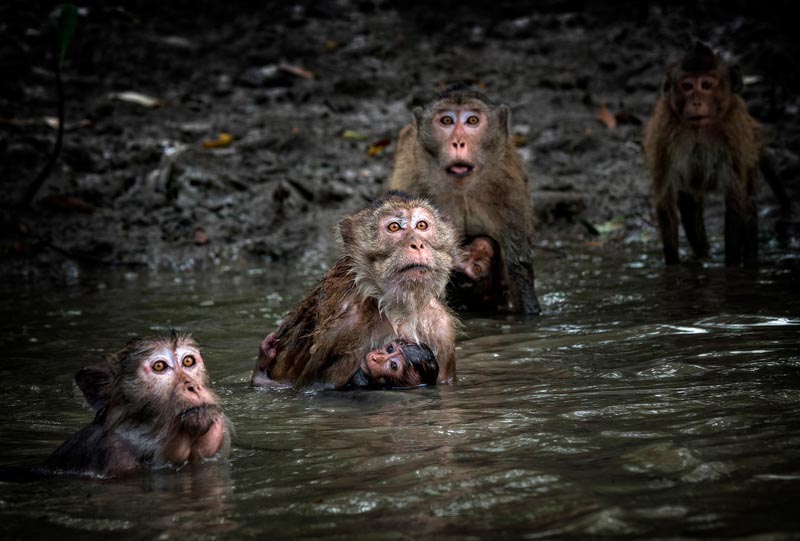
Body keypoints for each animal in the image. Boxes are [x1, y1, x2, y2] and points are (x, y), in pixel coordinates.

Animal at [251, 191, 460, 389]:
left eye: (422, 225)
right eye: (394, 227)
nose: (417, 244)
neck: (398, 310)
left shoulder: (442, 330)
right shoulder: (341, 328)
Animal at [387, 87, 540, 315]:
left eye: (473, 120)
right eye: (447, 121)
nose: (458, 142)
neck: (463, 192)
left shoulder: (509, 190)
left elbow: (518, 267)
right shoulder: (411, 185)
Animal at [643, 41, 766, 267]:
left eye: (706, 85)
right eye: (687, 86)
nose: (696, 102)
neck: (699, 128)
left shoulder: (734, 132)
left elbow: (736, 201)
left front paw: (732, 265)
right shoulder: (663, 131)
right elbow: (666, 201)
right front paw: (672, 266)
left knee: (750, 204)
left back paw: (750, 256)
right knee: (689, 205)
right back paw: (701, 254)